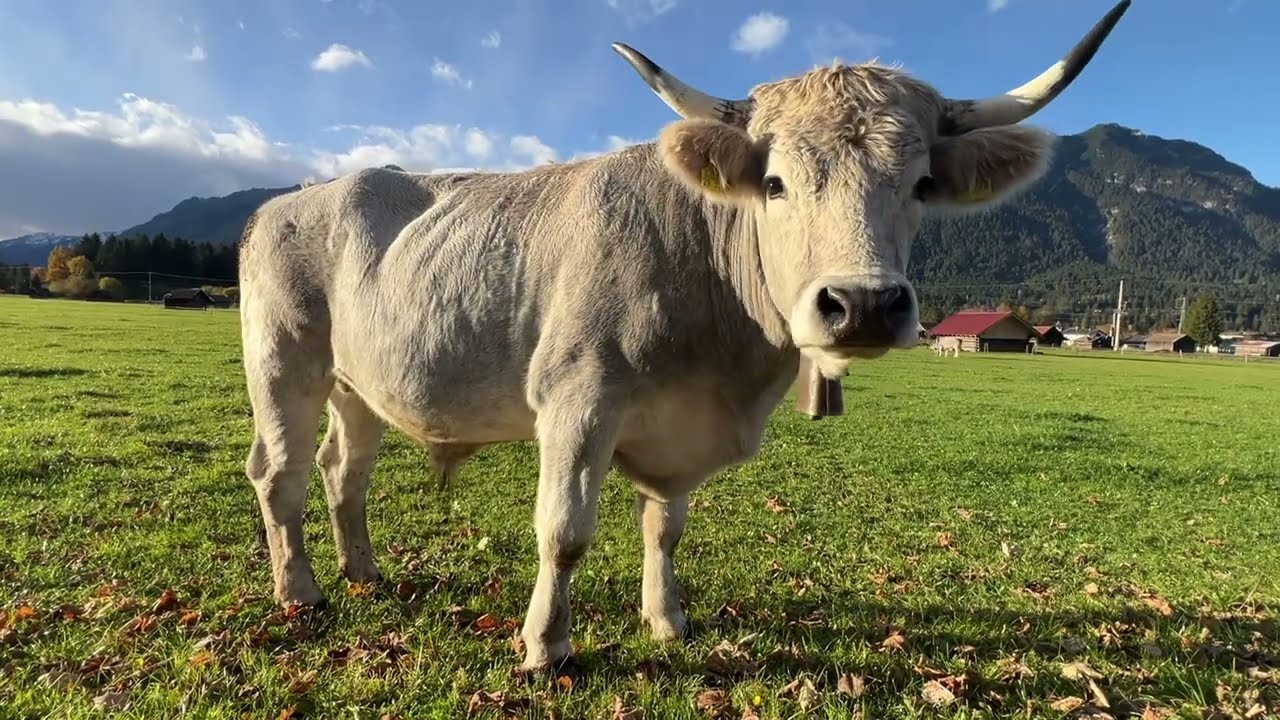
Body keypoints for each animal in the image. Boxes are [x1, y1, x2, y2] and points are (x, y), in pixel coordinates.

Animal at [236, 1, 1131, 673]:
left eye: (920, 185)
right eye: (774, 183)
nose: (864, 305)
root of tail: (292, 198)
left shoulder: (677, 431)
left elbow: (664, 526)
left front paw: (666, 620)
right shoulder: (577, 402)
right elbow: (564, 531)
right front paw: (546, 646)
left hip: (361, 385)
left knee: (343, 473)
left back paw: (362, 572)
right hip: (284, 366)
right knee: (280, 475)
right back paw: (301, 591)